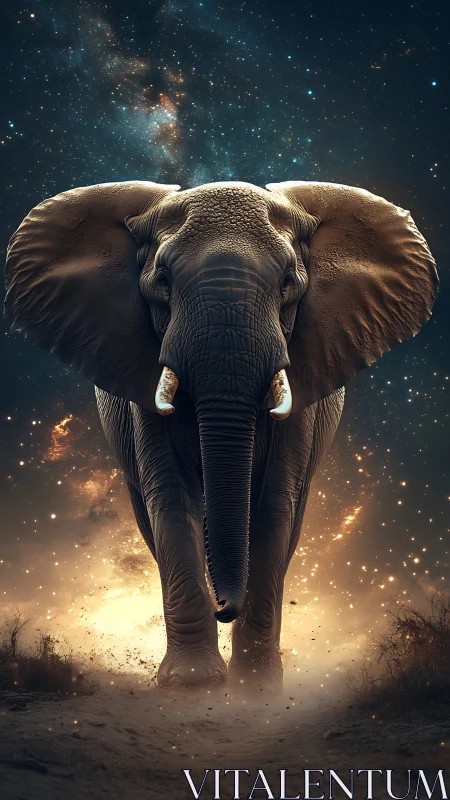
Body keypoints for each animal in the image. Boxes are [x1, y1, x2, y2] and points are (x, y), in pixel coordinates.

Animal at [4, 179, 438, 692]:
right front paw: (193, 685)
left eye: (288, 283)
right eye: (163, 282)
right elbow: (173, 501)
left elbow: (273, 507)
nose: (223, 606)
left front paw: (256, 691)